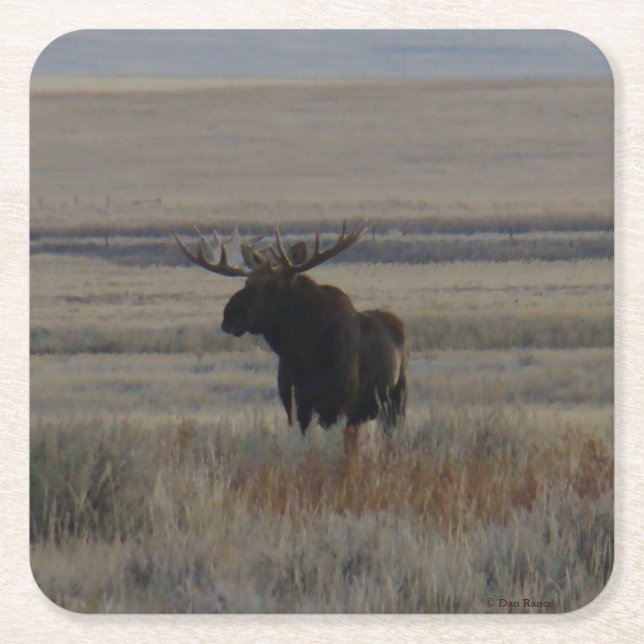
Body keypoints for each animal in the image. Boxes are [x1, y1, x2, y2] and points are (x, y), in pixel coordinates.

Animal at [175, 222, 406, 452]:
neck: (301, 356)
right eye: (246, 281)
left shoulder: (338, 405)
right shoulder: (294, 405)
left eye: (271, 285)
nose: (229, 316)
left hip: (395, 399)